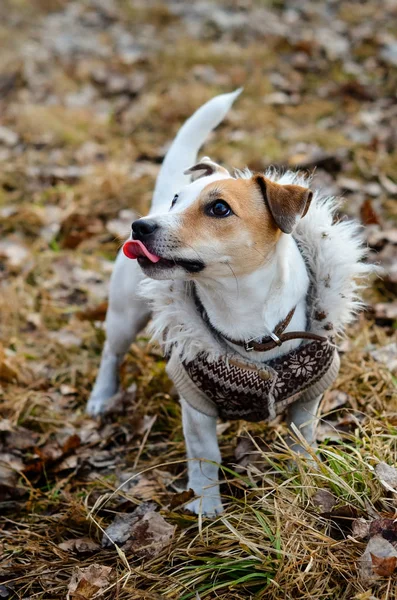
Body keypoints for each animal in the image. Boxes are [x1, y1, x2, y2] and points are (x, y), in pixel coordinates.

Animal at [86, 89, 372, 516]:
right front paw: (206, 506)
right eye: (176, 202)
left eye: (219, 208)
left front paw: (305, 480)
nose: (140, 226)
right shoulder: (195, 402)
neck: (244, 315)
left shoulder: (310, 396)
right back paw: (102, 396)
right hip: (125, 314)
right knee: (111, 352)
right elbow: (205, 456)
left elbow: (302, 440)